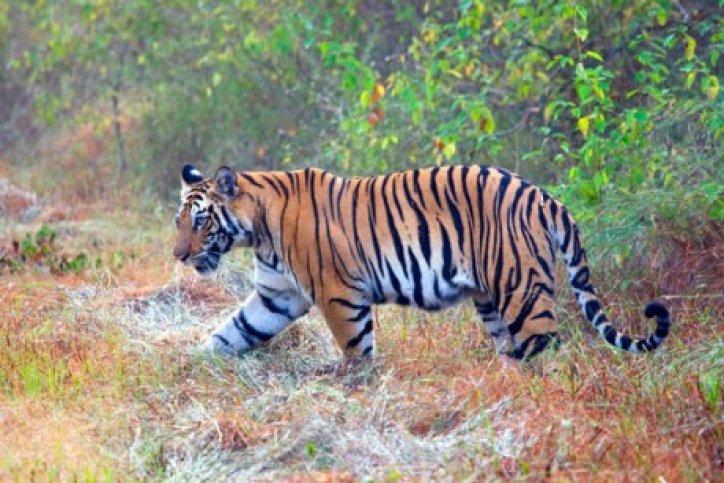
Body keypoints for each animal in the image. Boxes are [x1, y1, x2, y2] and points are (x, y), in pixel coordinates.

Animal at [173, 164, 672, 362]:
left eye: (200, 221)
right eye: (179, 222)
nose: (178, 255)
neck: (258, 231)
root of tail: (542, 195)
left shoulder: (339, 293)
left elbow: (356, 347)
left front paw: (357, 386)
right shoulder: (277, 296)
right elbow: (234, 331)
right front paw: (196, 364)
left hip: (520, 288)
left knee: (547, 345)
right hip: (491, 299)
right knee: (514, 349)